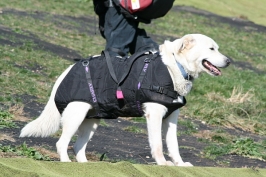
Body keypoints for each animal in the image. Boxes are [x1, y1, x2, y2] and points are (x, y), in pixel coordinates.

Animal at [19, 34, 230, 166]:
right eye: (211, 48)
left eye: (218, 49)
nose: (229, 61)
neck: (175, 66)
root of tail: (68, 69)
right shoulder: (154, 115)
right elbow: (158, 145)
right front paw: (163, 164)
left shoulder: (171, 118)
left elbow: (174, 145)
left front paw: (179, 164)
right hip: (75, 116)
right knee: (62, 144)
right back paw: (66, 163)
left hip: (91, 122)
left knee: (78, 146)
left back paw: (87, 166)